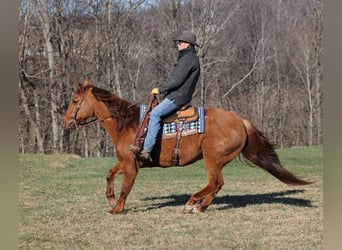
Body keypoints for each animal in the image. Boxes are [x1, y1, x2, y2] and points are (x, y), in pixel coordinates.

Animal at [61, 79, 312, 214]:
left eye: (75, 101)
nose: (65, 122)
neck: (128, 124)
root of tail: (241, 121)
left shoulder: (132, 164)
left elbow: (126, 187)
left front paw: (116, 208)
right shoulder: (125, 161)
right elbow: (110, 174)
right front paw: (111, 199)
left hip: (212, 159)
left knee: (215, 183)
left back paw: (192, 203)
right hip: (216, 161)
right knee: (216, 185)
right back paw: (199, 206)